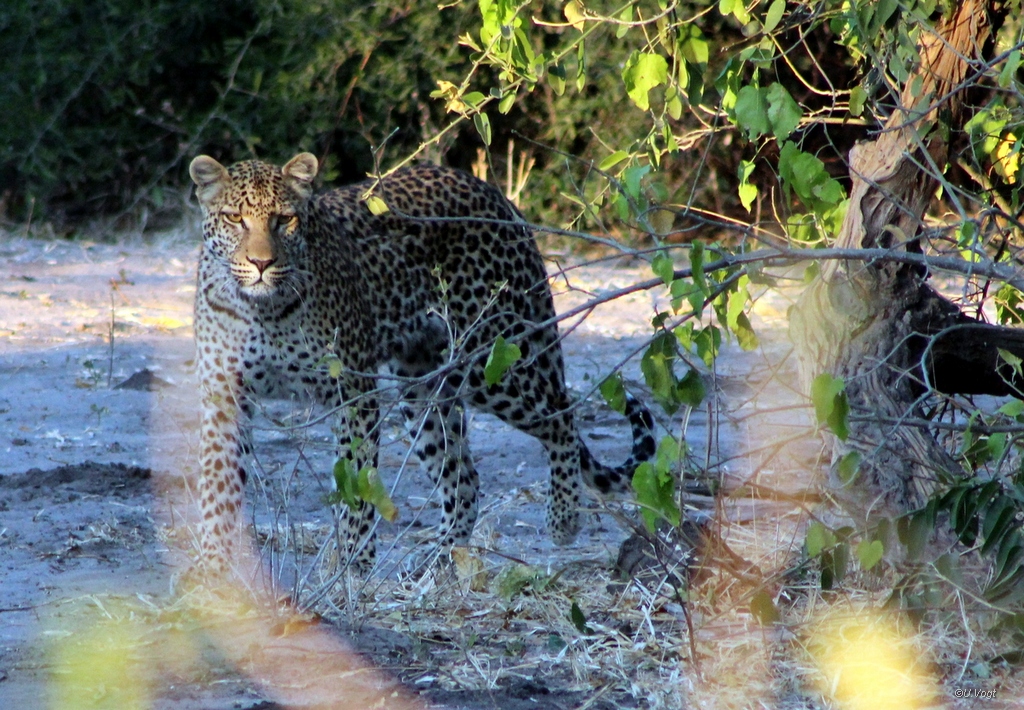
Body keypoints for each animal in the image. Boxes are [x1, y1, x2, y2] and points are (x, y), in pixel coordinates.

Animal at [187, 152, 651, 573]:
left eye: (284, 220)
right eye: (234, 218)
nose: (261, 263)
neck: (261, 310)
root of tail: (493, 194)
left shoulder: (353, 390)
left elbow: (358, 482)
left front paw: (352, 566)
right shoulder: (223, 393)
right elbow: (217, 483)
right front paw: (213, 567)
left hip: (489, 359)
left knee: (560, 417)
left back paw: (563, 519)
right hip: (423, 382)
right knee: (463, 479)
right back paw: (437, 558)